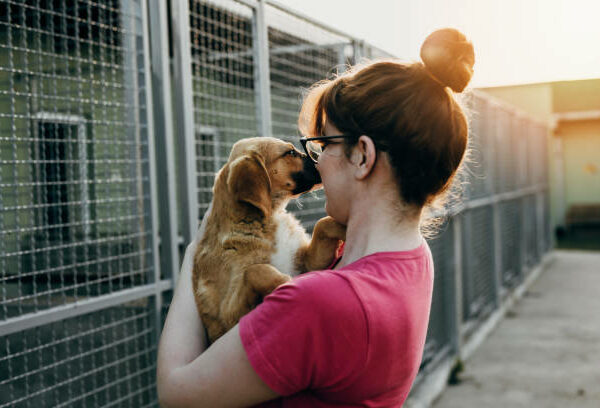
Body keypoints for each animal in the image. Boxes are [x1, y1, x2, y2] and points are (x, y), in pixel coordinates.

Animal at [192, 136, 346, 342]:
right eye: (290, 152)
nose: (319, 155)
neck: (268, 219)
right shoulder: (227, 316)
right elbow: (256, 270)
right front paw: (285, 282)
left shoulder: (307, 263)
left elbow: (323, 224)